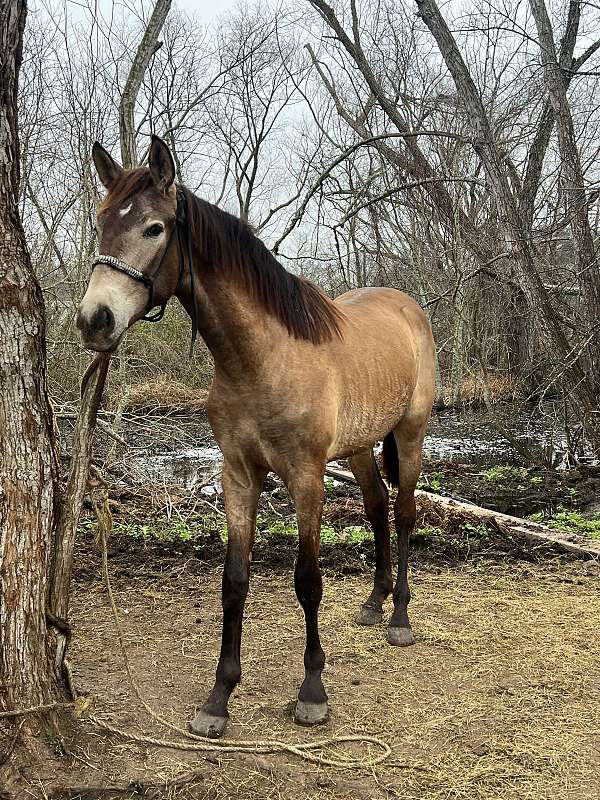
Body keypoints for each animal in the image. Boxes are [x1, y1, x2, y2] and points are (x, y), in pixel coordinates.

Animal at [78, 136, 436, 736]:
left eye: (154, 228)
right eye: (103, 221)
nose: (94, 320)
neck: (261, 358)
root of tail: (407, 306)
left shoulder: (306, 478)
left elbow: (308, 581)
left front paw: (312, 692)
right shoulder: (238, 475)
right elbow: (234, 581)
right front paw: (218, 698)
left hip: (409, 434)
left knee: (405, 511)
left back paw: (400, 617)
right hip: (360, 447)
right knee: (376, 506)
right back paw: (374, 601)